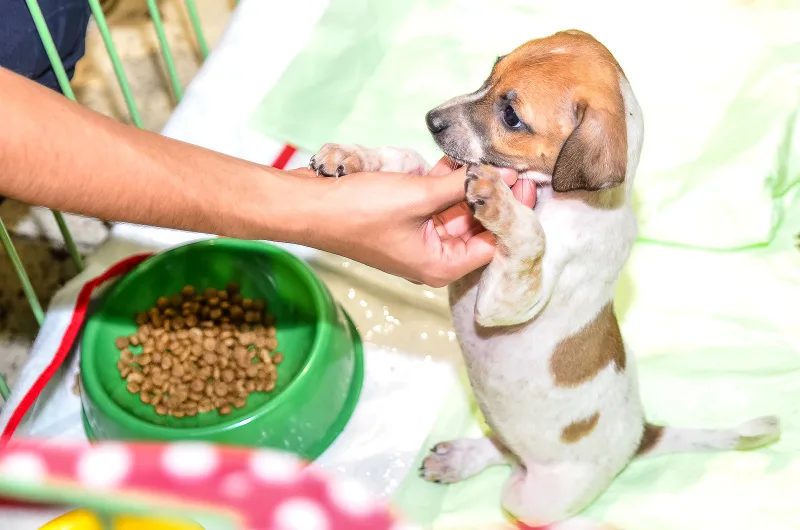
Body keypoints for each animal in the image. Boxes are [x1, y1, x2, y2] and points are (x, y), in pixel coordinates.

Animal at [308, 29, 780, 528]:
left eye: (511, 116)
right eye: (491, 72)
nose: (431, 119)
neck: (563, 195)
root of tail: (639, 436)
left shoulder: (507, 297)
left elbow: (530, 238)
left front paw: (500, 203)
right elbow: (406, 159)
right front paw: (352, 156)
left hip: (532, 496)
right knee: (503, 448)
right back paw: (461, 458)